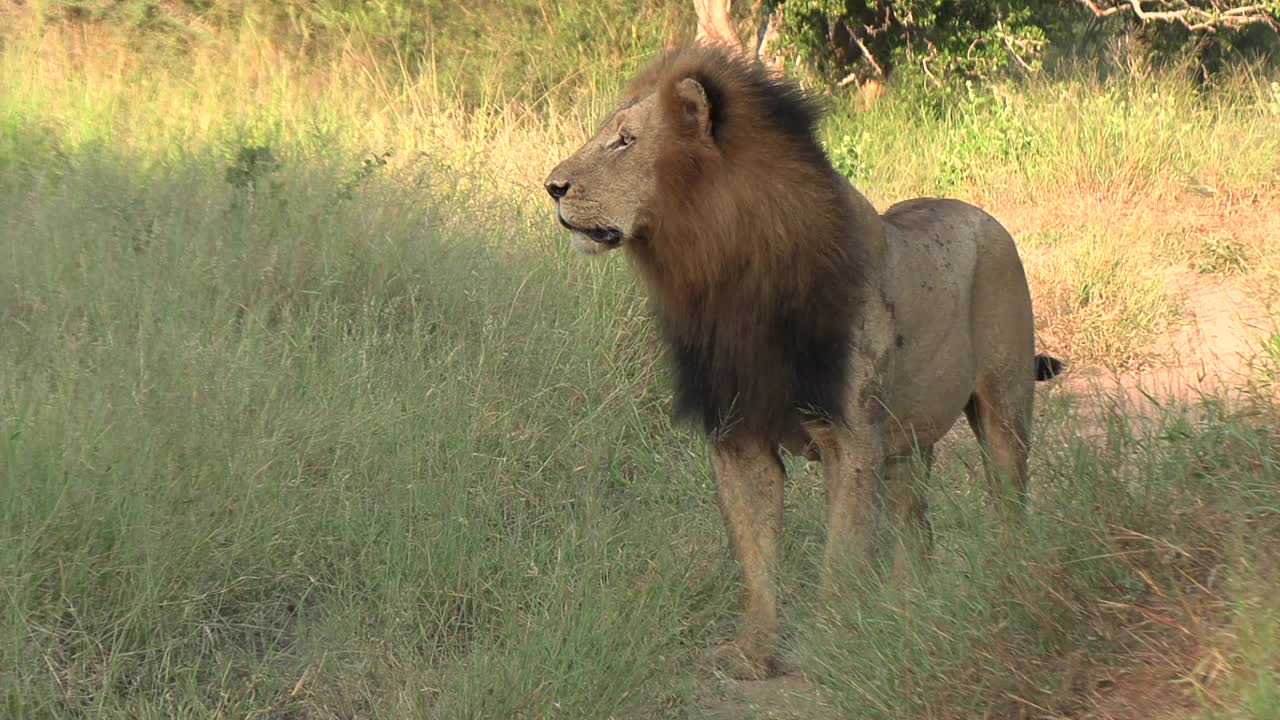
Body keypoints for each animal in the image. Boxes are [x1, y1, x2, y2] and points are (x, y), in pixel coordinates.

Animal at [540, 46, 1059, 676]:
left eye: (625, 141)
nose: (552, 186)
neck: (726, 280)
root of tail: (983, 215)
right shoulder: (737, 436)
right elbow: (757, 556)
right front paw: (754, 652)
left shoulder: (852, 439)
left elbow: (843, 557)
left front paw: (832, 646)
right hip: (907, 445)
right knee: (919, 530)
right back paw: (909, 614)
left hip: (1003, 409)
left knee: (1009, 507)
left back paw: (1006, 593)